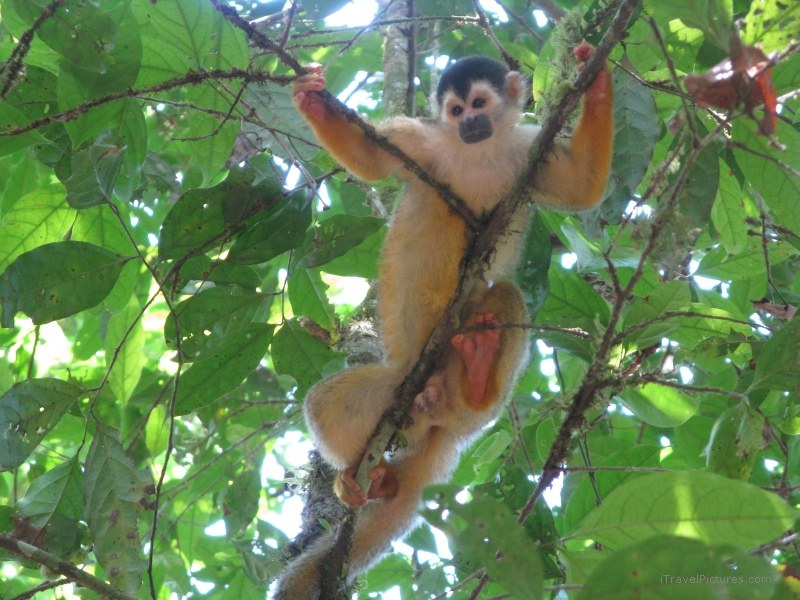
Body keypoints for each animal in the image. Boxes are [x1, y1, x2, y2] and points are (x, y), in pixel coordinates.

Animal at [273, 44, 613, 599]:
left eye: (479, 102)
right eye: (454, 111)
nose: (470, 123)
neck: (476, 152)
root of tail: (444, 429)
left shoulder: (528, 149)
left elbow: (582, 187)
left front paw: (599, 78)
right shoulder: (424, 141)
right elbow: (373, 163)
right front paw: (313, 100)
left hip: (466, 395)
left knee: (504, 296)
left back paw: (477, 374)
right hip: (397, 395)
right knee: (326, 405)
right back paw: (372, 479)